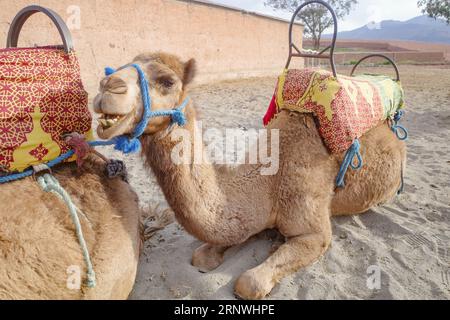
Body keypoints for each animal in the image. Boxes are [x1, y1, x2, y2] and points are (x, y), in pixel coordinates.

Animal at [95, 52, 408, 300]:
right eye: (119, 66)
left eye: (167, 81)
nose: (107, 86)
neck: (269, 180)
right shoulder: (249, 215)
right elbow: (203, 254)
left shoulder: (316, 231)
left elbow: (249, 282)